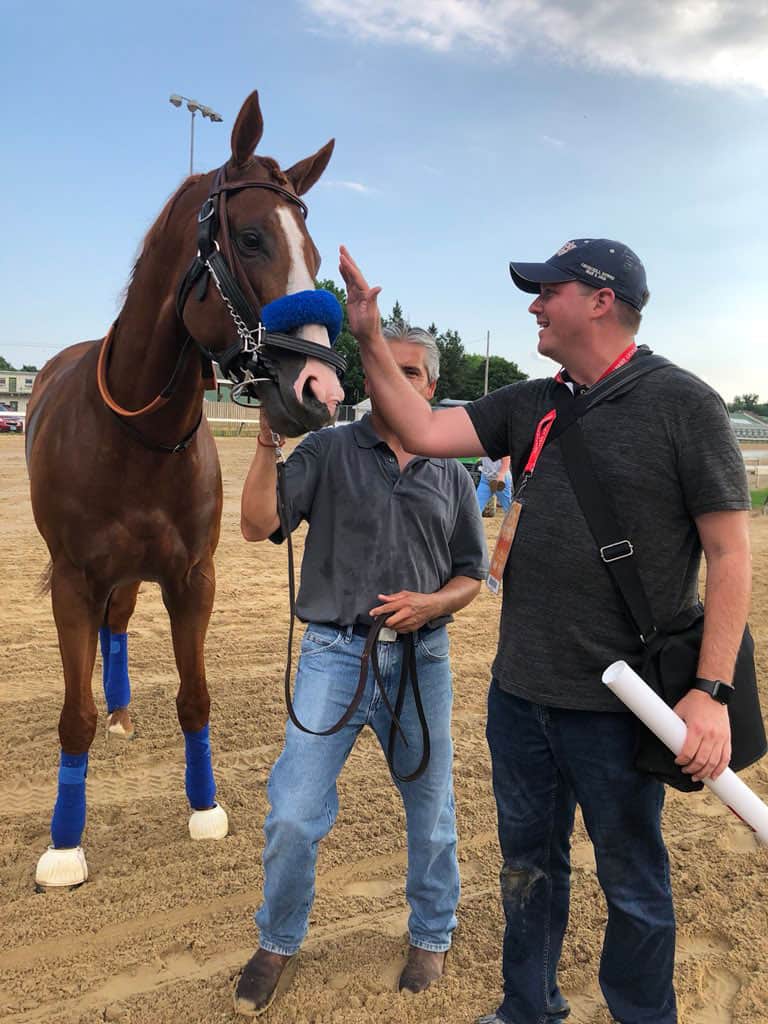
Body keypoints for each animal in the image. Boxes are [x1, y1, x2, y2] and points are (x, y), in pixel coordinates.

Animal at [25, 89, 345, 889]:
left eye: (315, 255)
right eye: (252, 238)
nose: (320, 391)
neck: (134, 436)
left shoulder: (192, 577)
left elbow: (196, 699)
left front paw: (204, 807)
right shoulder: (73, 579)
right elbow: (72, 714)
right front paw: (64, 846)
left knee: (117, 626)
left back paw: (123, 711)